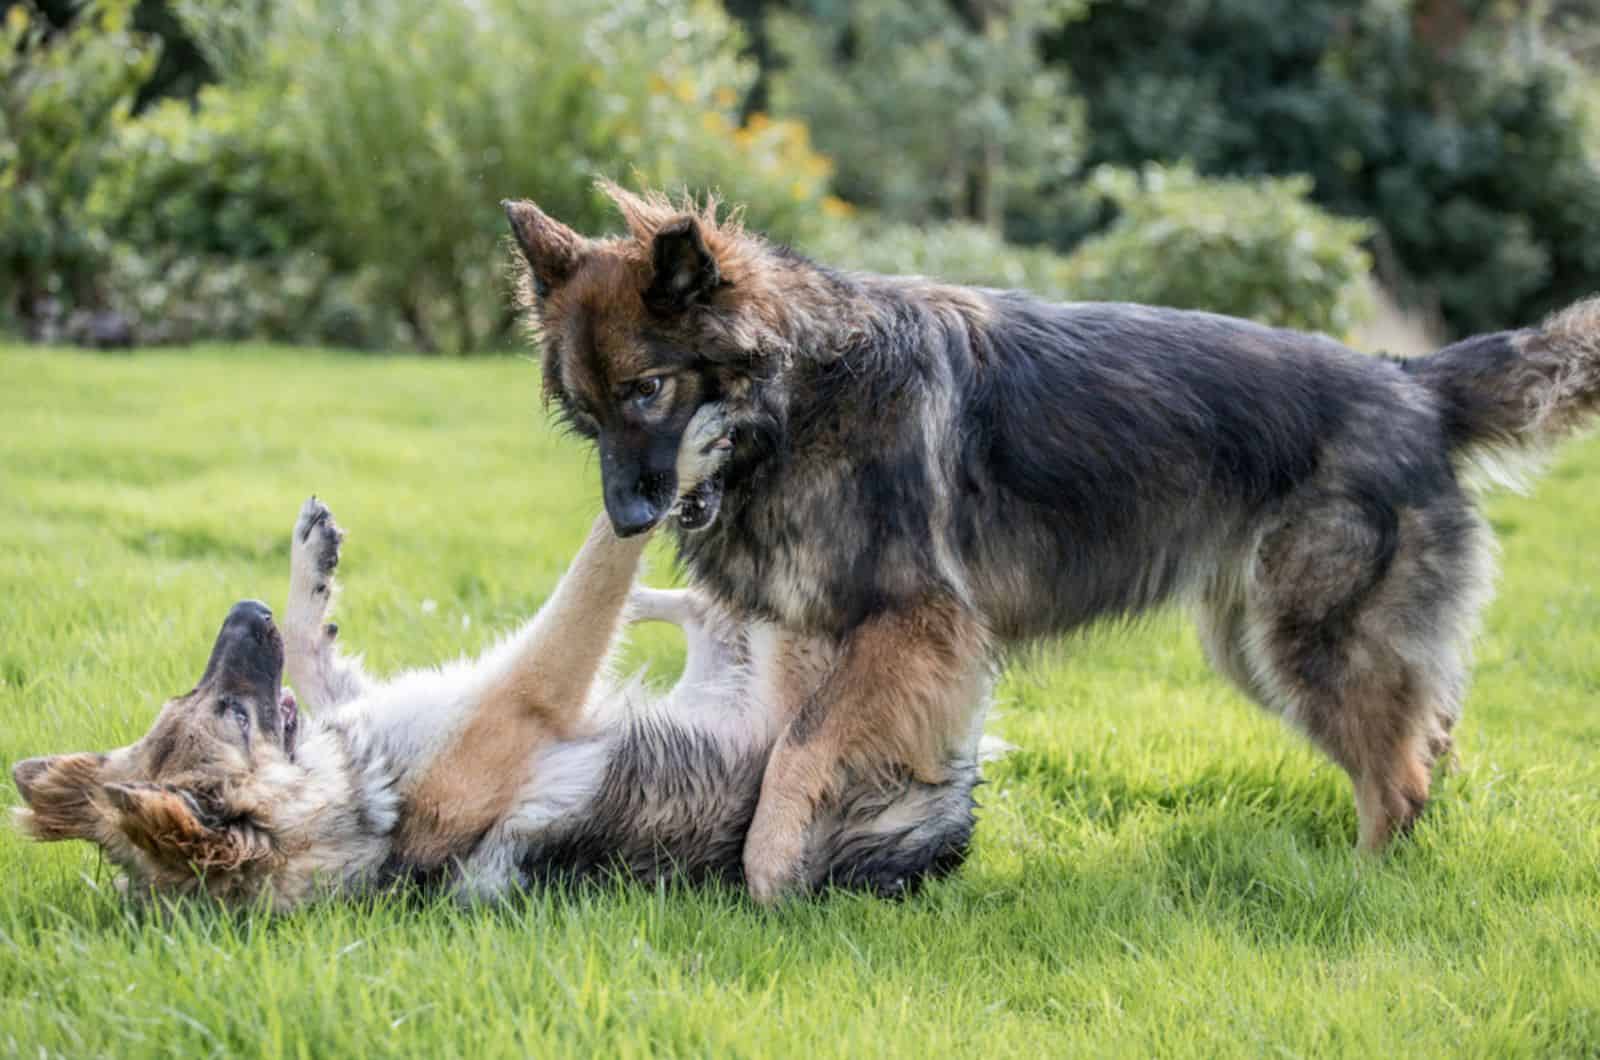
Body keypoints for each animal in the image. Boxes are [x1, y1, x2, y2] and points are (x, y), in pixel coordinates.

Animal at [12, 409, 979, 909]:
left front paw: (306, 568)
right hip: (807, 654)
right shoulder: (532, 689)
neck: (365, 811)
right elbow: (592, 569)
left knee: (709, 605)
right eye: (229, 713)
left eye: (187, 698)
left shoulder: (378, 698)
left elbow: (317, 655)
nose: (242, 611)